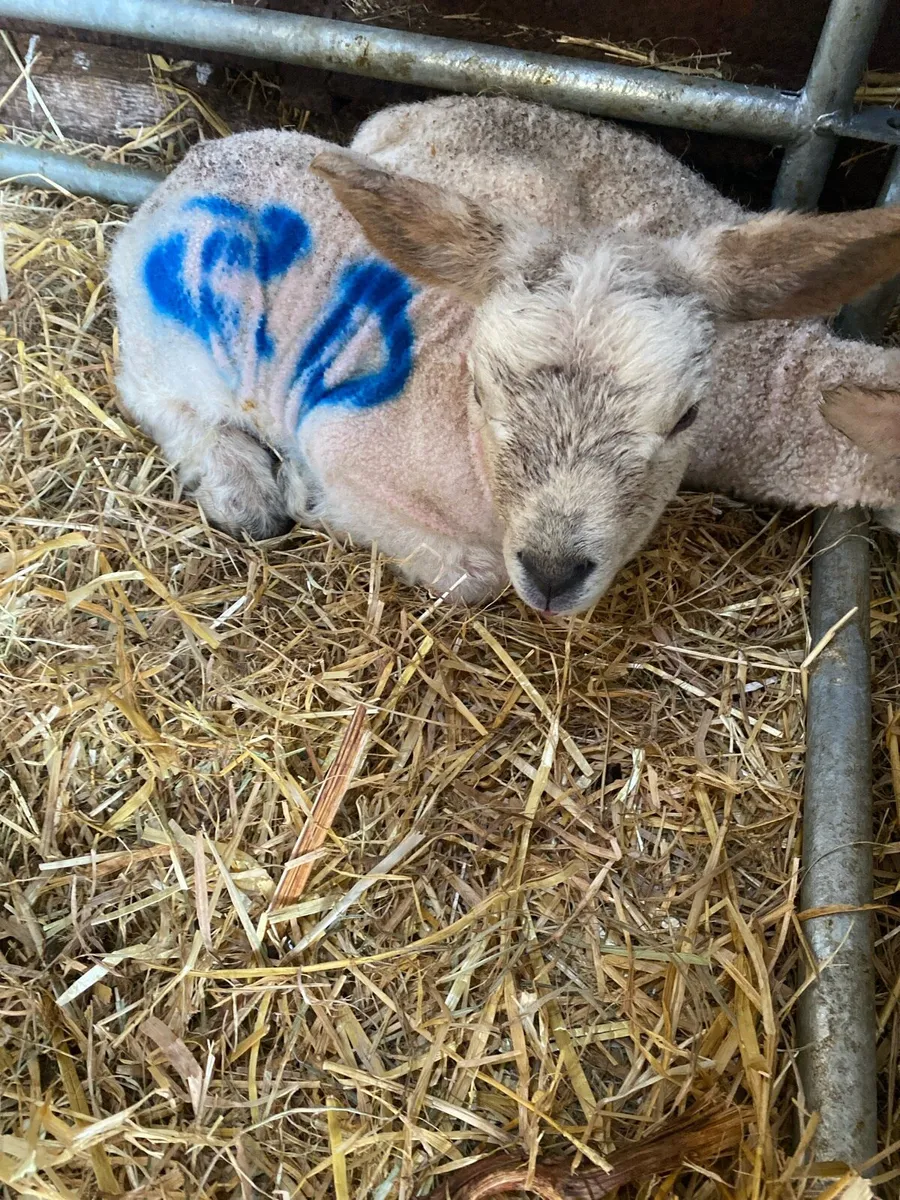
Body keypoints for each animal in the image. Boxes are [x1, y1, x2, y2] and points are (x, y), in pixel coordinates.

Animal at [109, 96, 900, 614]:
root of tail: (197, 157)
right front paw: (308, 496)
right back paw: (240, 483)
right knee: (156, 399)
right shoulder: (341, 441)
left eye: (686, 418)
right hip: (166, 342)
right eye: (482, 392)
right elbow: (474, 576)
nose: (554, 573)